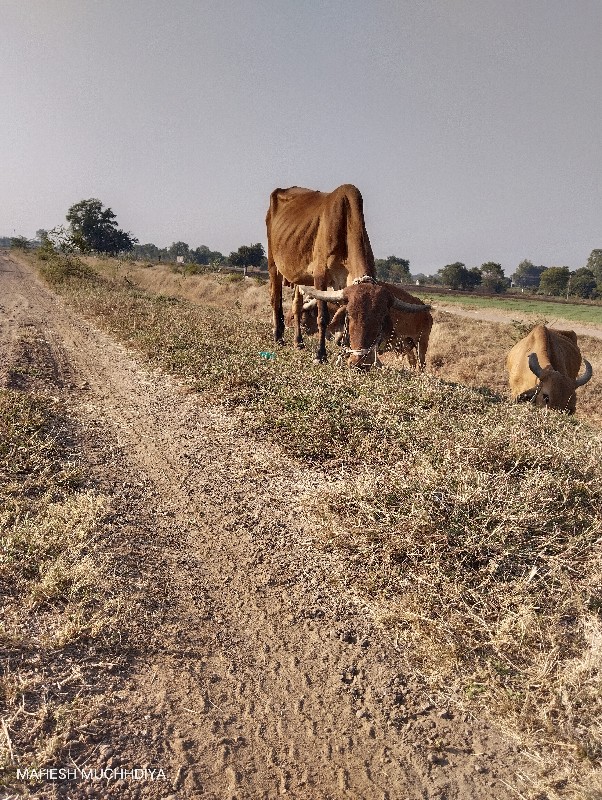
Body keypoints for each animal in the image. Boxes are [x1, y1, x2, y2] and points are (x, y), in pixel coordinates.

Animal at [264, 183, 424, 368]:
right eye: (352, 316)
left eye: (380, 320)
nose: (361, 362)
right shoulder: (320, 277)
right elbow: (323, 317)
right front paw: (320, 354)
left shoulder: (340, 285)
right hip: (273, 265)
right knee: (275, 300)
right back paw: (278, 337)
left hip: (299, 275)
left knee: (297, 305)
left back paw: (299, 342)